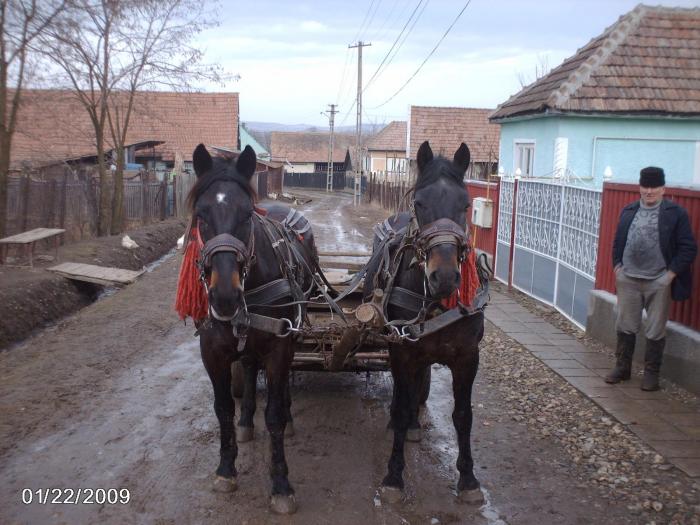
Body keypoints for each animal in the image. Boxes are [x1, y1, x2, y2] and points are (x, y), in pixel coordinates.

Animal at [187, 142, 316, 512]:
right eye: (201, 215)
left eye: (246, 215)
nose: (224, 296)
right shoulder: (212, 352)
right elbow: (223, 409)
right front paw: (226, 469)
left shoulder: (280, 346)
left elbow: (273, 415)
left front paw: (281, 483)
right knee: (246, 365)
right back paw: (246, 421)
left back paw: (287, 415)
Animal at [366, 141, 486, 502]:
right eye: (420, 202)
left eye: (465, 204)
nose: (444, 276)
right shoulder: (403, 349)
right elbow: (402, 405)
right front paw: (394, 476)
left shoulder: (468, 357)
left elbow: (463, 415)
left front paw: (468, 478)